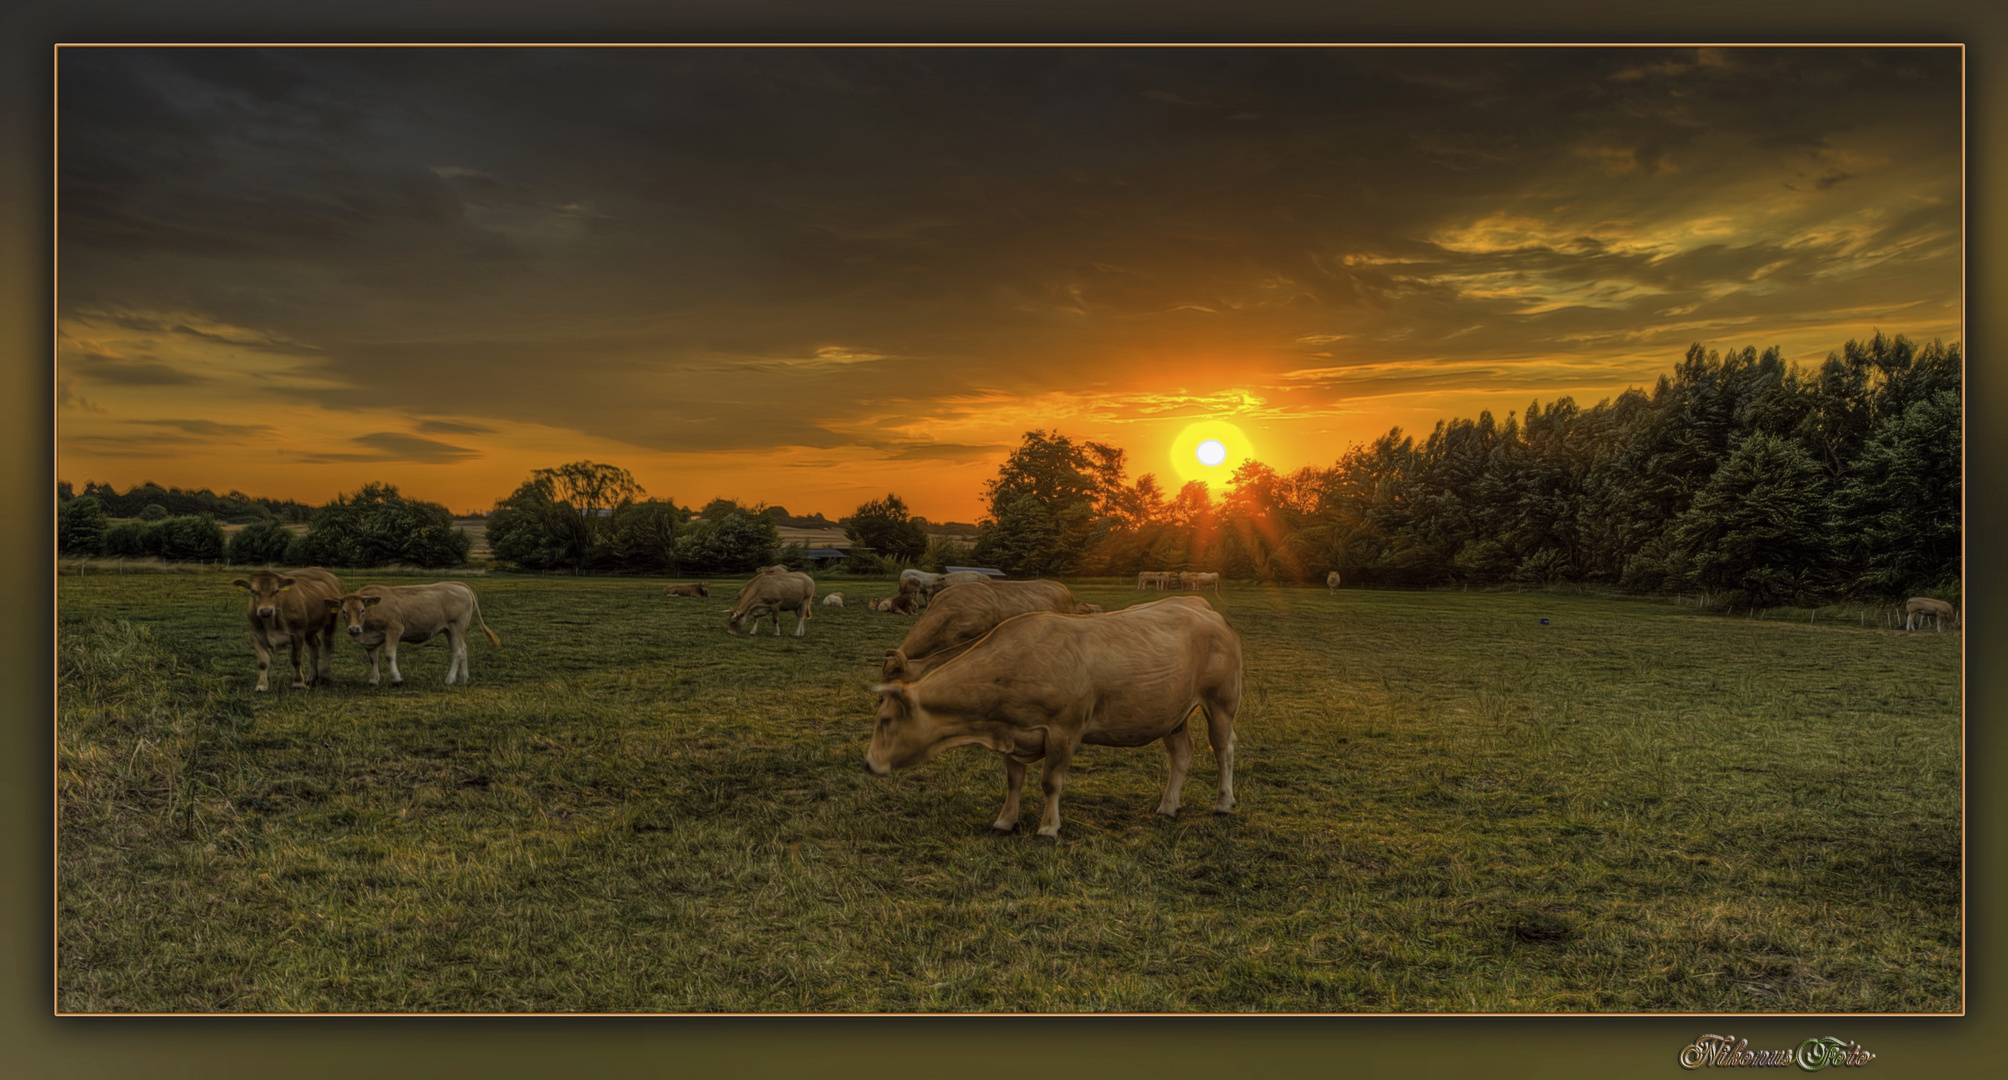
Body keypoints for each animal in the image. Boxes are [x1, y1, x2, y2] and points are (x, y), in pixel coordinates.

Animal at [233, 562, 347, 690]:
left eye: (276, 591)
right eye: (253, 591)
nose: (266, 611)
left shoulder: (298, 633)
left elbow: (296, 659)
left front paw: (298, 682)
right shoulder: (255, 634)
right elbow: (263, 662)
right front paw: (261, 685)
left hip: (331, 620)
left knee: (327, 645)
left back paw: (325, 675)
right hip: (309, 630)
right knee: (315, 646)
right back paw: (312, 677)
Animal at [325, 578, 501, 682]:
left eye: (362, 610)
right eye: (344, 611)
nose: (354, 628)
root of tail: (459, 585)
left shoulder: (395, 628)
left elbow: (389, 654)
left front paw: (396, 678)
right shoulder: (370, 639)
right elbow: (373, 659)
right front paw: (374, 680)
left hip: (456, 627)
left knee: (457, 652)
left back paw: (450, 679)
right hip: (450, 631)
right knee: (463, 649)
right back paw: (464, 678)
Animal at [863, 594, 1236, 835]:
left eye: (886, 722)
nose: (867, 763)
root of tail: (1200, 605)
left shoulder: (1064, 730)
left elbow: (1050, 782)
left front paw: (1048, 827)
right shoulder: (1012, 732)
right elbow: (1014, 781)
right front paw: (1005, 821)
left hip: (1222, 701)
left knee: (1223, 748)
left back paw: (1223, 803)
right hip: (1173, 713)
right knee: (1181, 753)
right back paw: (1168, 806)